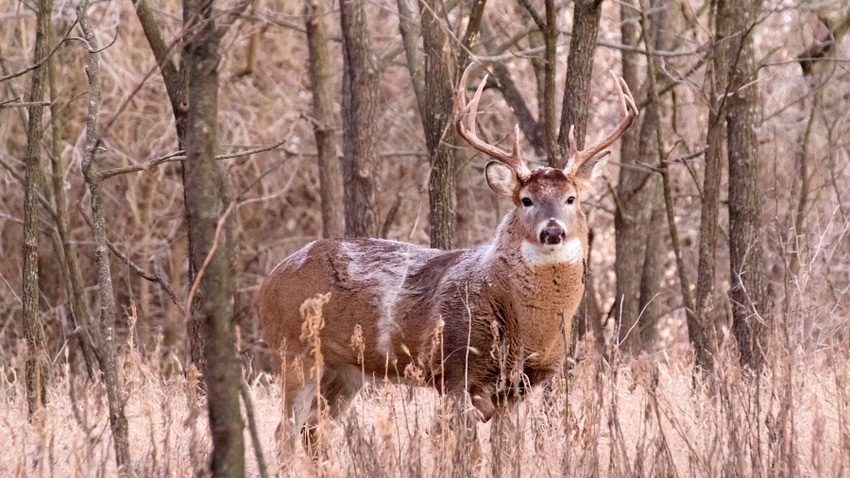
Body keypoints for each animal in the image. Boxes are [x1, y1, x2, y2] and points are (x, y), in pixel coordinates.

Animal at [258, 64, 636, 452]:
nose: (553, 231)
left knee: (314, 432)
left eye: (571, 198)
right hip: (294, 350)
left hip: (345, 370)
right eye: (526, 200)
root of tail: (267, 283)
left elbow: (504, 449)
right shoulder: (454, 369)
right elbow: (465, 450)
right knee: (285, 431)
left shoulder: (520, 388)